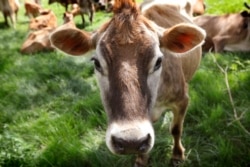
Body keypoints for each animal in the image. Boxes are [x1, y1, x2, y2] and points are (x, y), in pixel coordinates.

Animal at [48, 0, 205, 166]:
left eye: (158, 61)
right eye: (96, 63)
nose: (131, 142)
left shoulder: (182, 100)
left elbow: (176, 129)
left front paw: (177, 155)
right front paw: (141, 159)